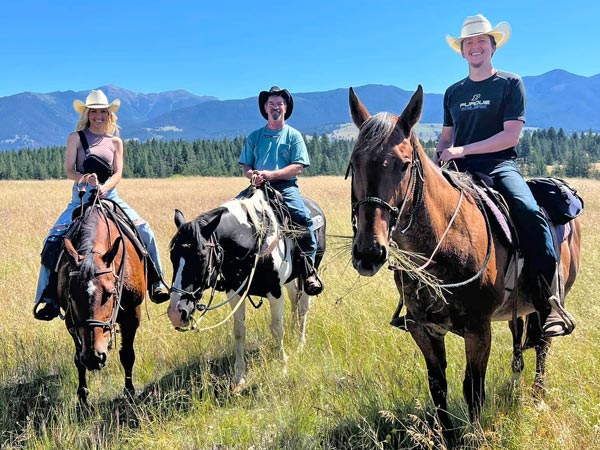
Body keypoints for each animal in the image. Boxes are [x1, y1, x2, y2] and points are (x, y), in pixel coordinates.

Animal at [56, 193, 146, 404]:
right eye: (72, 295)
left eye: (109, 293)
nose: (94, 357)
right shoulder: (71, 320)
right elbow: (77, 359)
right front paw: (82, 396)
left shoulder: (133, 314)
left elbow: (127, 354)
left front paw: (129, 391)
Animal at [166, 186, 326, 386]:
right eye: (172, 256)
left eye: (201, 256)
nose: (175, 313)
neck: (252, 243)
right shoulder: (234, 293)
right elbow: (239, 331)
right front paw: (239, 376)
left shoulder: (275, 292)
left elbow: (276, 330)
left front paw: (283, 368)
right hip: (290, 279)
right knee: (294, 298)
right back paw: (293, 331)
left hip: (308, 272)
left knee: (303, 306)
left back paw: (300, 343)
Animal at [346, 85, 580, 432]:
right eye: (354, 162)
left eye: (404, 164)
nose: (369, 253)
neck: (442, 247)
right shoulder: (423, 329)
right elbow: (438, 386)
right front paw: (446, 436)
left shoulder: (478, 330)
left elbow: (473, 390)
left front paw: (476, 436)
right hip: (516, 308)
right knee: (519, 339)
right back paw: (514, 386)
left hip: (549, 302)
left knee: (542, 345)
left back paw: (537, 398)